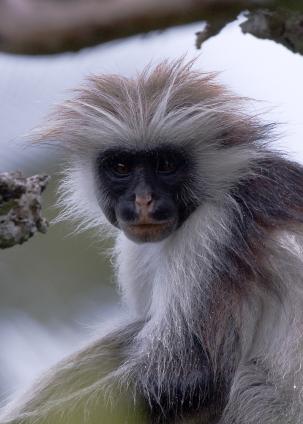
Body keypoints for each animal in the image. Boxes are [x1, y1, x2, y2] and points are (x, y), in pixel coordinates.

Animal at [1, 59, 303, 424]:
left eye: (166, 164)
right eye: (121, 166)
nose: (143, 200)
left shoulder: (216, 229)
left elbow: (184, 378)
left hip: (267, 408)